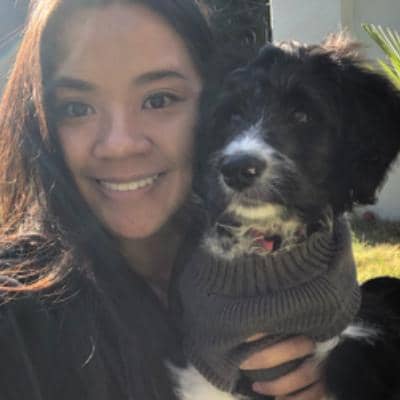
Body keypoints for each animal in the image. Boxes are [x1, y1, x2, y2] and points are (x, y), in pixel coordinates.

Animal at [172, 34, 400, 400]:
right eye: (232, 116)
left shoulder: (352, 333)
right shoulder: (207, 367)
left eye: (302, 115)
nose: (237, 168)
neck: (271, 250)